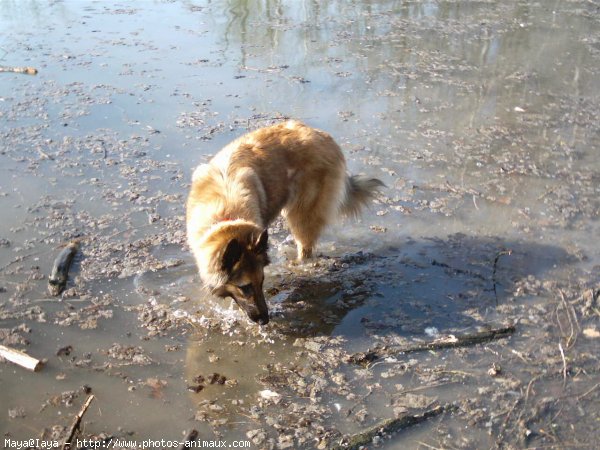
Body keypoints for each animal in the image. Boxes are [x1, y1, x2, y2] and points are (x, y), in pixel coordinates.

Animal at [186, 119, 384, 324]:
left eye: (262, 281)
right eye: (245, 287)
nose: (265, 320)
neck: (227, 215)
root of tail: (325, 138)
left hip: (301, 216)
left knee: (305, 249)